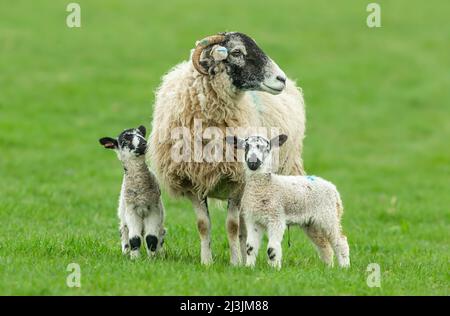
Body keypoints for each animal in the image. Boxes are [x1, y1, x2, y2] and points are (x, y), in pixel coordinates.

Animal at [99, 124, 166, 258]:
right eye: (125, 140)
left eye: (141, 134)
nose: (144, 143)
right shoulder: (131, 211)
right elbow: (135, 238)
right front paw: (135, 258)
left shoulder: (154, 209)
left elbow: (151, 238)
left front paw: (152, 258)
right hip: (123, 218)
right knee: (125, 233)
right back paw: (125, 252)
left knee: (160, 234)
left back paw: (160, 253)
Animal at [148, 32, 306, 266]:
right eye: (237, 52)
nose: (281, 79)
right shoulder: (193, 182)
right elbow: (203, 226)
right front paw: (206, 262)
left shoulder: (237, 182)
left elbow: (232, 227)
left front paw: (235, 262)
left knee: (244, 226)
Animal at [227, 134, 350, 270]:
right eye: (246, 147)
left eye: (267, 148)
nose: (253, 163)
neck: (263, 188)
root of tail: (334, 189)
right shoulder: (253, 219)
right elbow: (250, 247)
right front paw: (249, 267)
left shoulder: (276, 217)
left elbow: (272, 248)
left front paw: (274, 268)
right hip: (311, 223)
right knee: (324, 245)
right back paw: (328, 267)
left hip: (329, 216)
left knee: (340, 241)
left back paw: (344, 267)